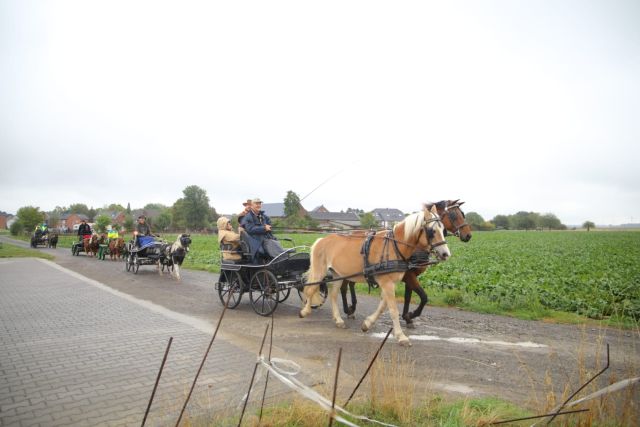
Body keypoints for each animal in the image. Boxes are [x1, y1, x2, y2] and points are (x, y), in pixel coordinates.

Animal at [300, 205, 450, 348]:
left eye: (443, 230)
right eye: (432, 231)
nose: (446, 254)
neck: (394, 246)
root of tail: (322, 239)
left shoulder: (389, 283)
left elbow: (383, 306)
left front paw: (367, 324)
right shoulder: (387, 283)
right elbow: (393, 310)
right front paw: (401, 337)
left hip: (338, 275)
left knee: (333, 295)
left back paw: (338, 320)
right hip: (320, 271)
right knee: (310, 289)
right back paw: (305, 311)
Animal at [340, 200, 470, 328]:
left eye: (462, 214)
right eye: (454, 215)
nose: (468, 235)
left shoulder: (409, 276)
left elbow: (408, 296)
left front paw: (407, 317)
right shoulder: (409, 276)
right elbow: (423, 297)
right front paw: (411, 315)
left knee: (350, 284)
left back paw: (351, 308)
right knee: (344, 287)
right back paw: (348, 310)